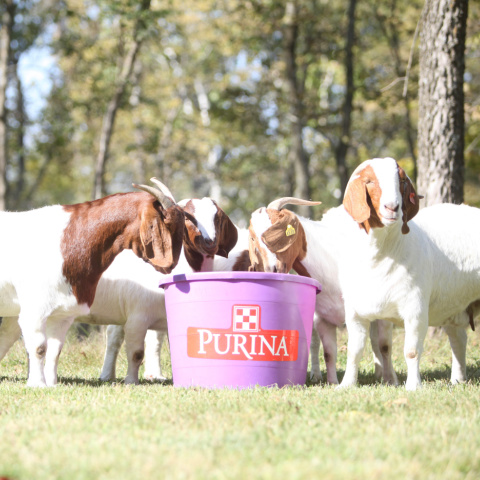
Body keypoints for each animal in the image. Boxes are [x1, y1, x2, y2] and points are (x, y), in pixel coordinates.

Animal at [0, 180, 186, 386]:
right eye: (167, 224)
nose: (172, 265)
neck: (72, 240)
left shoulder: (62, 313)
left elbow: (55, 351)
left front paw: (51, 384)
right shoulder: (34, 310)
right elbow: (39, 348)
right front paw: (38, 384)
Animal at [248, 197, 398, 384]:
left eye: (279, 232)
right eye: (253, 238)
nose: (272, 269)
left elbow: (384, 345)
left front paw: (391, 380)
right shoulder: (323, 318)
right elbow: (328, 353)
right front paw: (332, 382)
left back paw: (381, 373)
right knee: (314, 343)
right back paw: (316, 374)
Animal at [338, 158, 480, 390]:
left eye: (402, 181)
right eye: (369, 181)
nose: (392, 207)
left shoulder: (415, 308)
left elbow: (411, 351)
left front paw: (413, 386)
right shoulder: (355, 311)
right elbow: (354, 351)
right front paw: (346, 384)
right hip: (455, 306)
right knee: (458, 338)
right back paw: (457, 380)